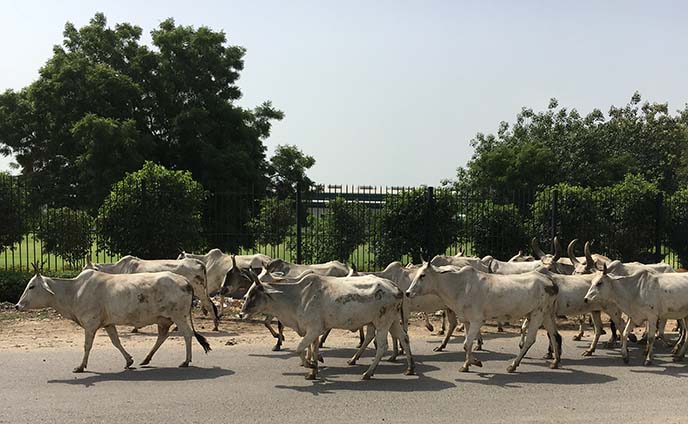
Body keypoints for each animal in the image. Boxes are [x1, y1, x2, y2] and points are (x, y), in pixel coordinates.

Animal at [14, 268, 210, 372]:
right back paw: (146, 359)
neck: (74, 292)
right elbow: (116, 342)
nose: (17, 305)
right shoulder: (108, 324)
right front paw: (129, 361)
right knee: (162, 336)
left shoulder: (90, 324)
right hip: (164, 319)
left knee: (188, 334)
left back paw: (186, 361)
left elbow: (87, 346)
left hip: (178, 315)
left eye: (32, 286)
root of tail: (185, 281)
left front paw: (81, 366)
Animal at [406, 264, 560, 372]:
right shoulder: (466, 320)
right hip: (546, 314)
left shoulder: (477, 320)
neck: (459, 286)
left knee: (530, 340)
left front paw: (472, 363)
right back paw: (555, 362)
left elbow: (466, 344)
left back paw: (513, 365)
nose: (407, 292)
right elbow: (467, 344)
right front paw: (470, 363)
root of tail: (550, 282)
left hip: (537, 314)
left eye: (423, 275)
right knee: (555, 335)